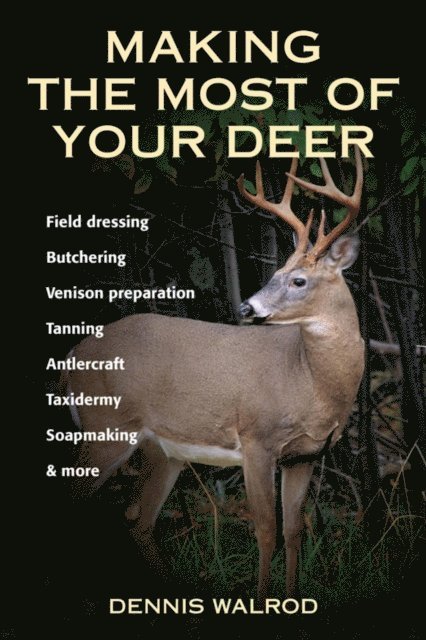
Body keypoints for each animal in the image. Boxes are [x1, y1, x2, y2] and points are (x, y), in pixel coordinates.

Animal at [63, 148, 365, 599]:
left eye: (298, 280)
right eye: (273, 274)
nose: (247, 307)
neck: (310, 382)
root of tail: (70, 357)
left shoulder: (306, 454)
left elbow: (294, 531)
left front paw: (292, 599)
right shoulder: (257, 439)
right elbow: (266, 530)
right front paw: (262, 600)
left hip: (163, 451)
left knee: (137, 518)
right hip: (105, 428)